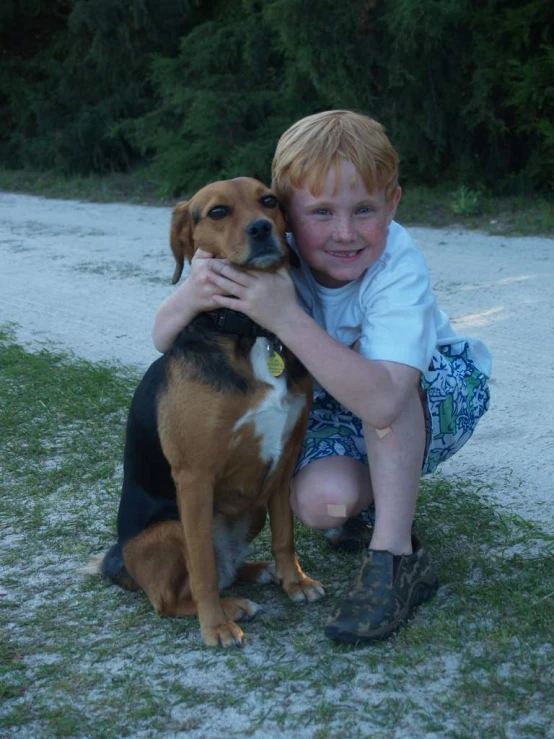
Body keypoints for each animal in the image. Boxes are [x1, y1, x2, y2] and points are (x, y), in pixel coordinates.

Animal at [90, 178, 324, 648]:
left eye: (269, 201)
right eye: (217, 212)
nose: (261, 228)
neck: (248, 331)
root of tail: (118, 560)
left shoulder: (284, 462)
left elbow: (285, 534)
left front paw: (295, 581)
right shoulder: (195, 478)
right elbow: (201, 565)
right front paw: (214, 625)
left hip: (252, 504)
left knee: (227, 568)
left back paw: (256, 572)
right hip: (170, 529)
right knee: (172, 597)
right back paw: (228, 606)